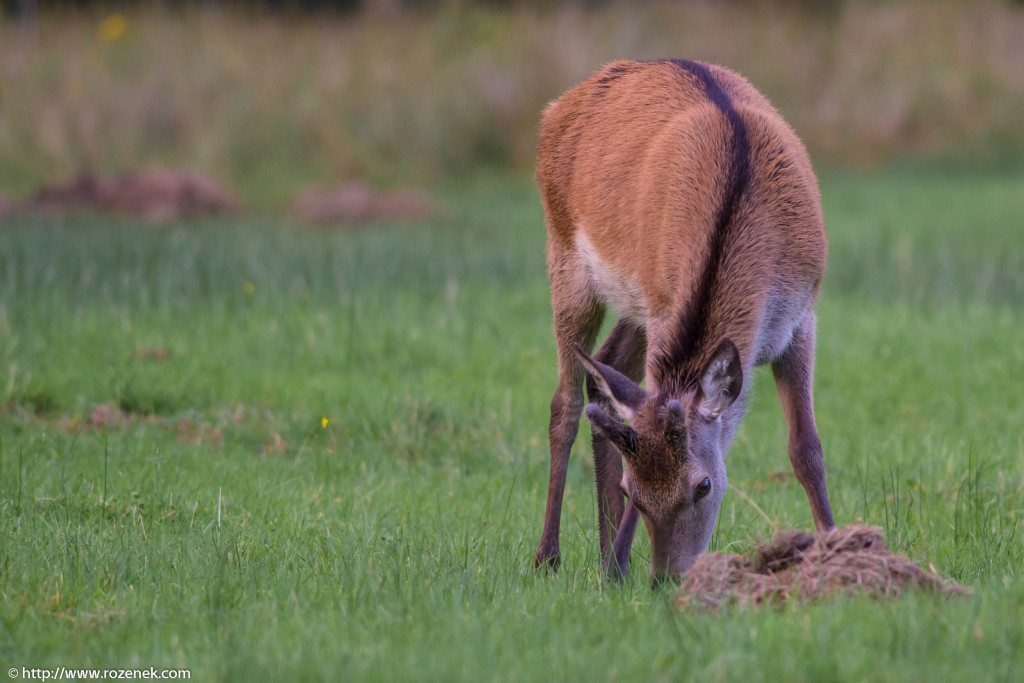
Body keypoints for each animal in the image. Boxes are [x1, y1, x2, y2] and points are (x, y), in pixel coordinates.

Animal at [532, 60, 835, 581]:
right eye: (633, 490)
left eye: (704, 485)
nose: (666, 578)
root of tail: (556, 108)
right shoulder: (663, 307)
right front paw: (616, 564)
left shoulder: (801, 319)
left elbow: (806, 449)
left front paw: (841, 549)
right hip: (567, 259)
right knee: (564, 403)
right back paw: (552, 557)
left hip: (637, 303)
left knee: (606, 367)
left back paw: (604, 557)